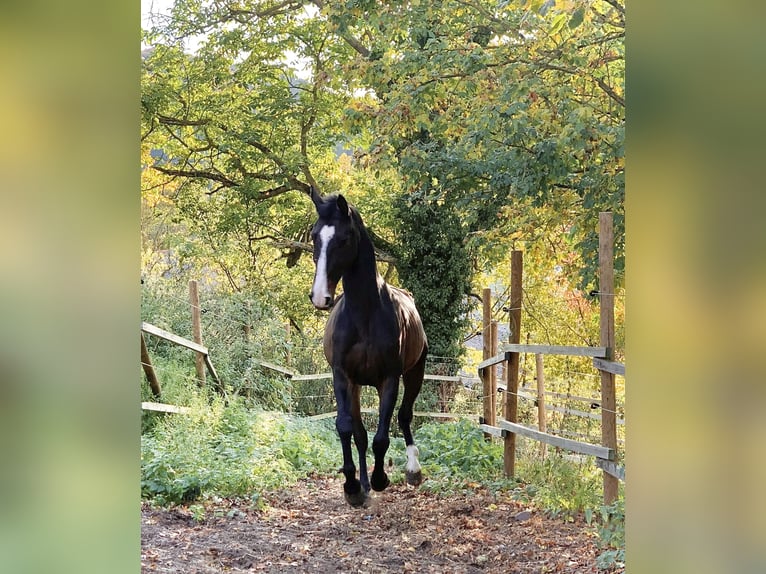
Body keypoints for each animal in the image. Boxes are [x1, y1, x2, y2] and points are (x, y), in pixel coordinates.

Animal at [307, 186, 428, 507]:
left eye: (343, 238)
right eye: (314, 236)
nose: (320, 296)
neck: (364, 315)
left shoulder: (390, 379)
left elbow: (382, 436)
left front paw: (380, 478)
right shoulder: (342, 377)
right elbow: (347, 428)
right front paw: (353, 485)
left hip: (415, 374)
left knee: (404, 416)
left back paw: (412, 470)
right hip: (358, 386)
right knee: (360, 433)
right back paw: (362, 484)